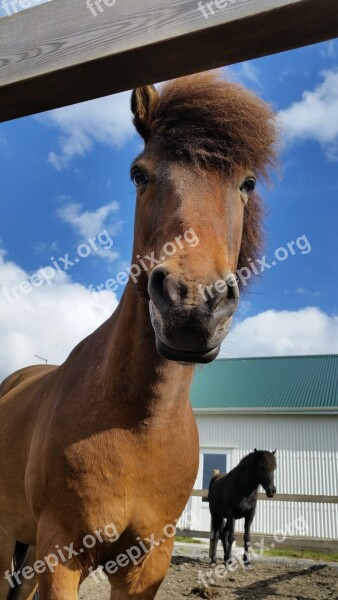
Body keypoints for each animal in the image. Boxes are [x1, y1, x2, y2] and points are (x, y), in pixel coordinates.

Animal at [0, 72, 276, 596]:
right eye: (139, 174)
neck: (138, 424)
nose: (191, 303)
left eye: (247, 183)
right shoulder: (59, 555)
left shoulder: (147, 565)